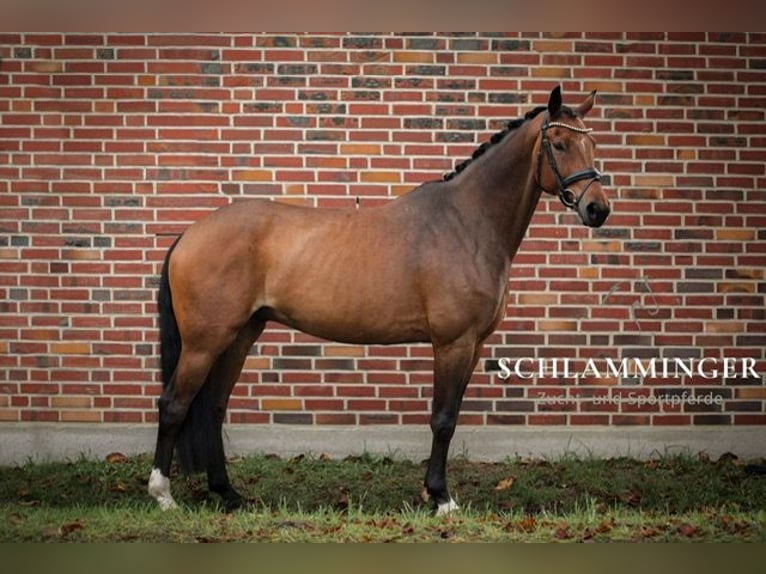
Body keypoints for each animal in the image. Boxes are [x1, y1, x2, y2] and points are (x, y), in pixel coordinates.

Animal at [148, 86, 612, 516]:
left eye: (592, 144)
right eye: (558, 144)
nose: (597, 209)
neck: (467, 223)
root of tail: (189, 234)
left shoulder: (475, 345)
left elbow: (451, 415)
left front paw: (433, 492)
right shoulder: (453, 343)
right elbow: (443, 419)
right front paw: (441, 498)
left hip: (240, 336)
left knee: (213, 408)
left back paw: (228, 493)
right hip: (205, 342)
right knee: (173, 405)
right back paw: (163, 495)